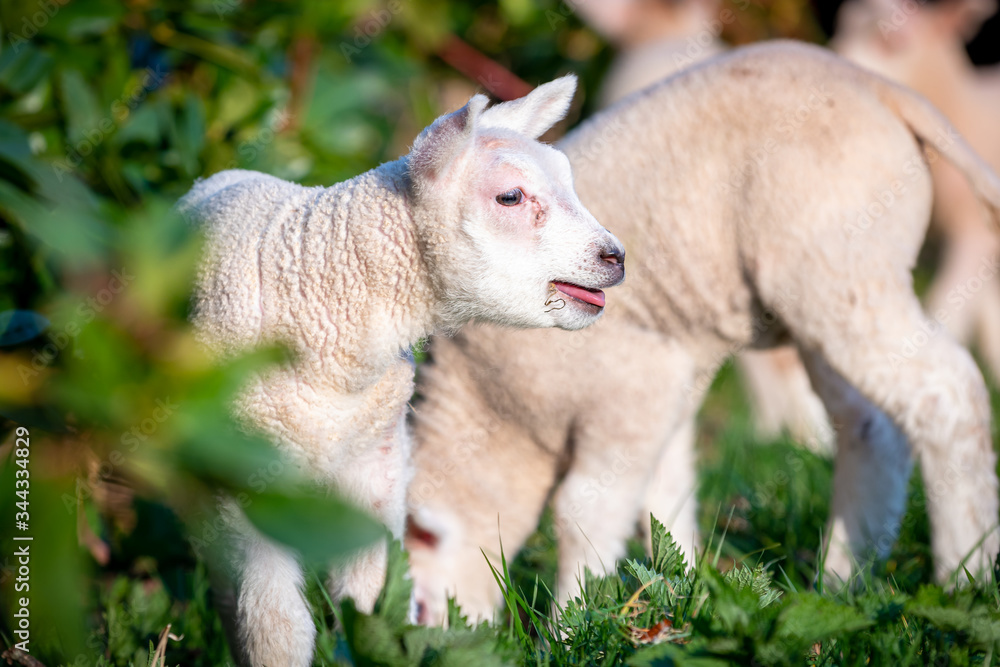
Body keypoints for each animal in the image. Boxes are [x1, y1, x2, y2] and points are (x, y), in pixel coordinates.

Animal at [178, 75, 626, 667]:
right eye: (510, 196)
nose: (615, 257)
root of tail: (221, 176)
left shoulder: (376, 462)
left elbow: (373, 602)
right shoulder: (245, 475)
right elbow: (275, 623)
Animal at [405, 41, 1000, 626]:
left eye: (417, 604)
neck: (498, 412)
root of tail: (881, 89)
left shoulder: (626, 385)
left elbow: (583, 510)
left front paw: (568, 625)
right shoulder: (664, 384)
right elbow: (663, 500)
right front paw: (683, 592)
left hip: (841, 264)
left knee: (948, 393)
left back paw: (965, 576)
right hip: (834, 281)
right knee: (872, 427)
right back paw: (841, 581)